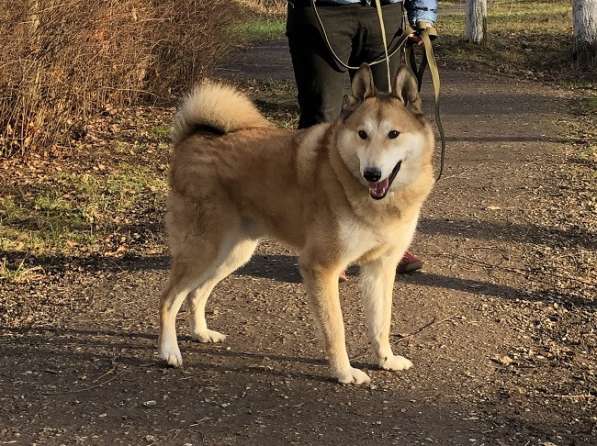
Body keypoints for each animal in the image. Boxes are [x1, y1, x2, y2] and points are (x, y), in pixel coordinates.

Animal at [158, 64, 434, 386]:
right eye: (362, 134)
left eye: (393, 134)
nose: (372, 174)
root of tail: (192, 138)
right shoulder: (321, 268)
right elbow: (336, 330)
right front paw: (344, 372)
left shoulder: (380, 268)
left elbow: (381, 323)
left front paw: (386, 360)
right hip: (203, 250)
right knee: (169, 298)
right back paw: (169, 352)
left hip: (232, 253)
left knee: (195, 293)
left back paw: (201, 332)